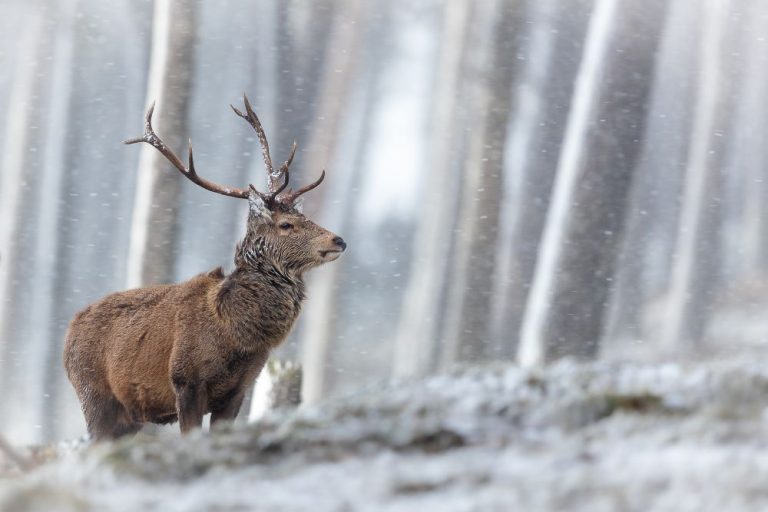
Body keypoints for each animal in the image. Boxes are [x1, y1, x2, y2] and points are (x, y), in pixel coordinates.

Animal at [63, 95, 346, 440]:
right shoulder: (186, 380)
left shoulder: (238, 390)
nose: (338, 240)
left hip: (129, 417)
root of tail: (69, 333)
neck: (236, 336)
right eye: (286, 224)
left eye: (305, 217)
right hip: (94, 396)